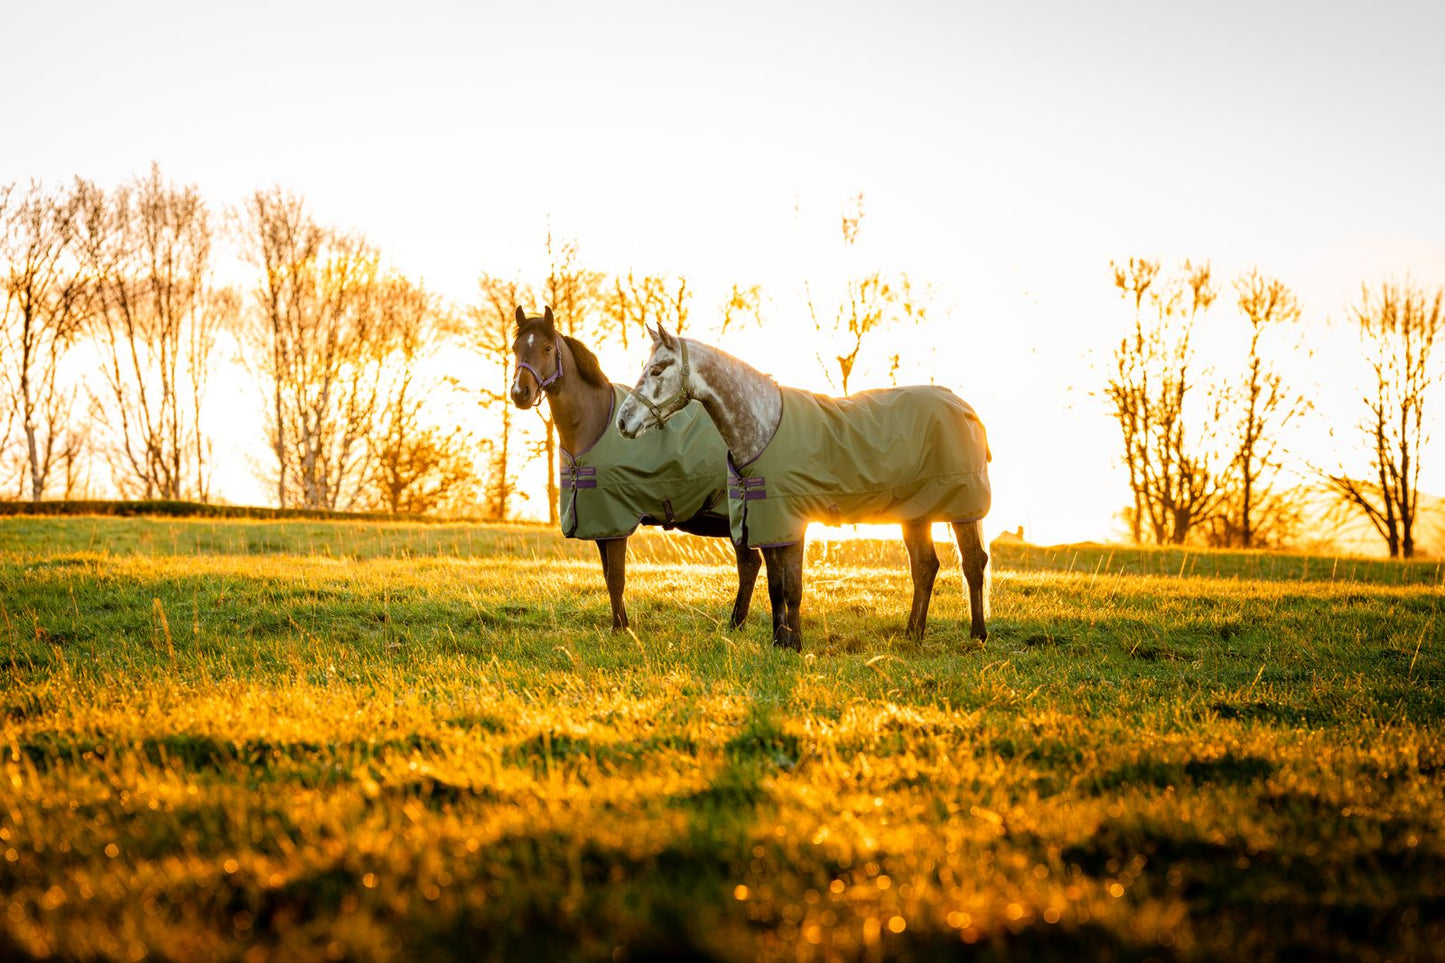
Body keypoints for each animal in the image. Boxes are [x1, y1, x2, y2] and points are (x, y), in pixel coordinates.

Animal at [508, 303, 762, 627]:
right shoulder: (600, 524)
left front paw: (620, 630)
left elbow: (616, 578)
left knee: (749, 564)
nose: (520, 393)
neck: (594, 423)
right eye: (516, 348)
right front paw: (622, 624)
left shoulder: (615, 521)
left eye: (547, 348)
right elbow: (609, 577)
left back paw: (735, 624)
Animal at [615, 321, 988, 644]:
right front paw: (780, 641)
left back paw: (977, 635)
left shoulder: (791, 522)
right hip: (915, 513)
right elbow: (776, 588)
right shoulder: (767, 523)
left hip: (962, 510)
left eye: (658, 369)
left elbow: (792, 588)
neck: (763, 426)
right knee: (925, 567)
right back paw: (913, 634)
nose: (623, 422)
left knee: (973, 563)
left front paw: (794, 643)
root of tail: (963, 406)